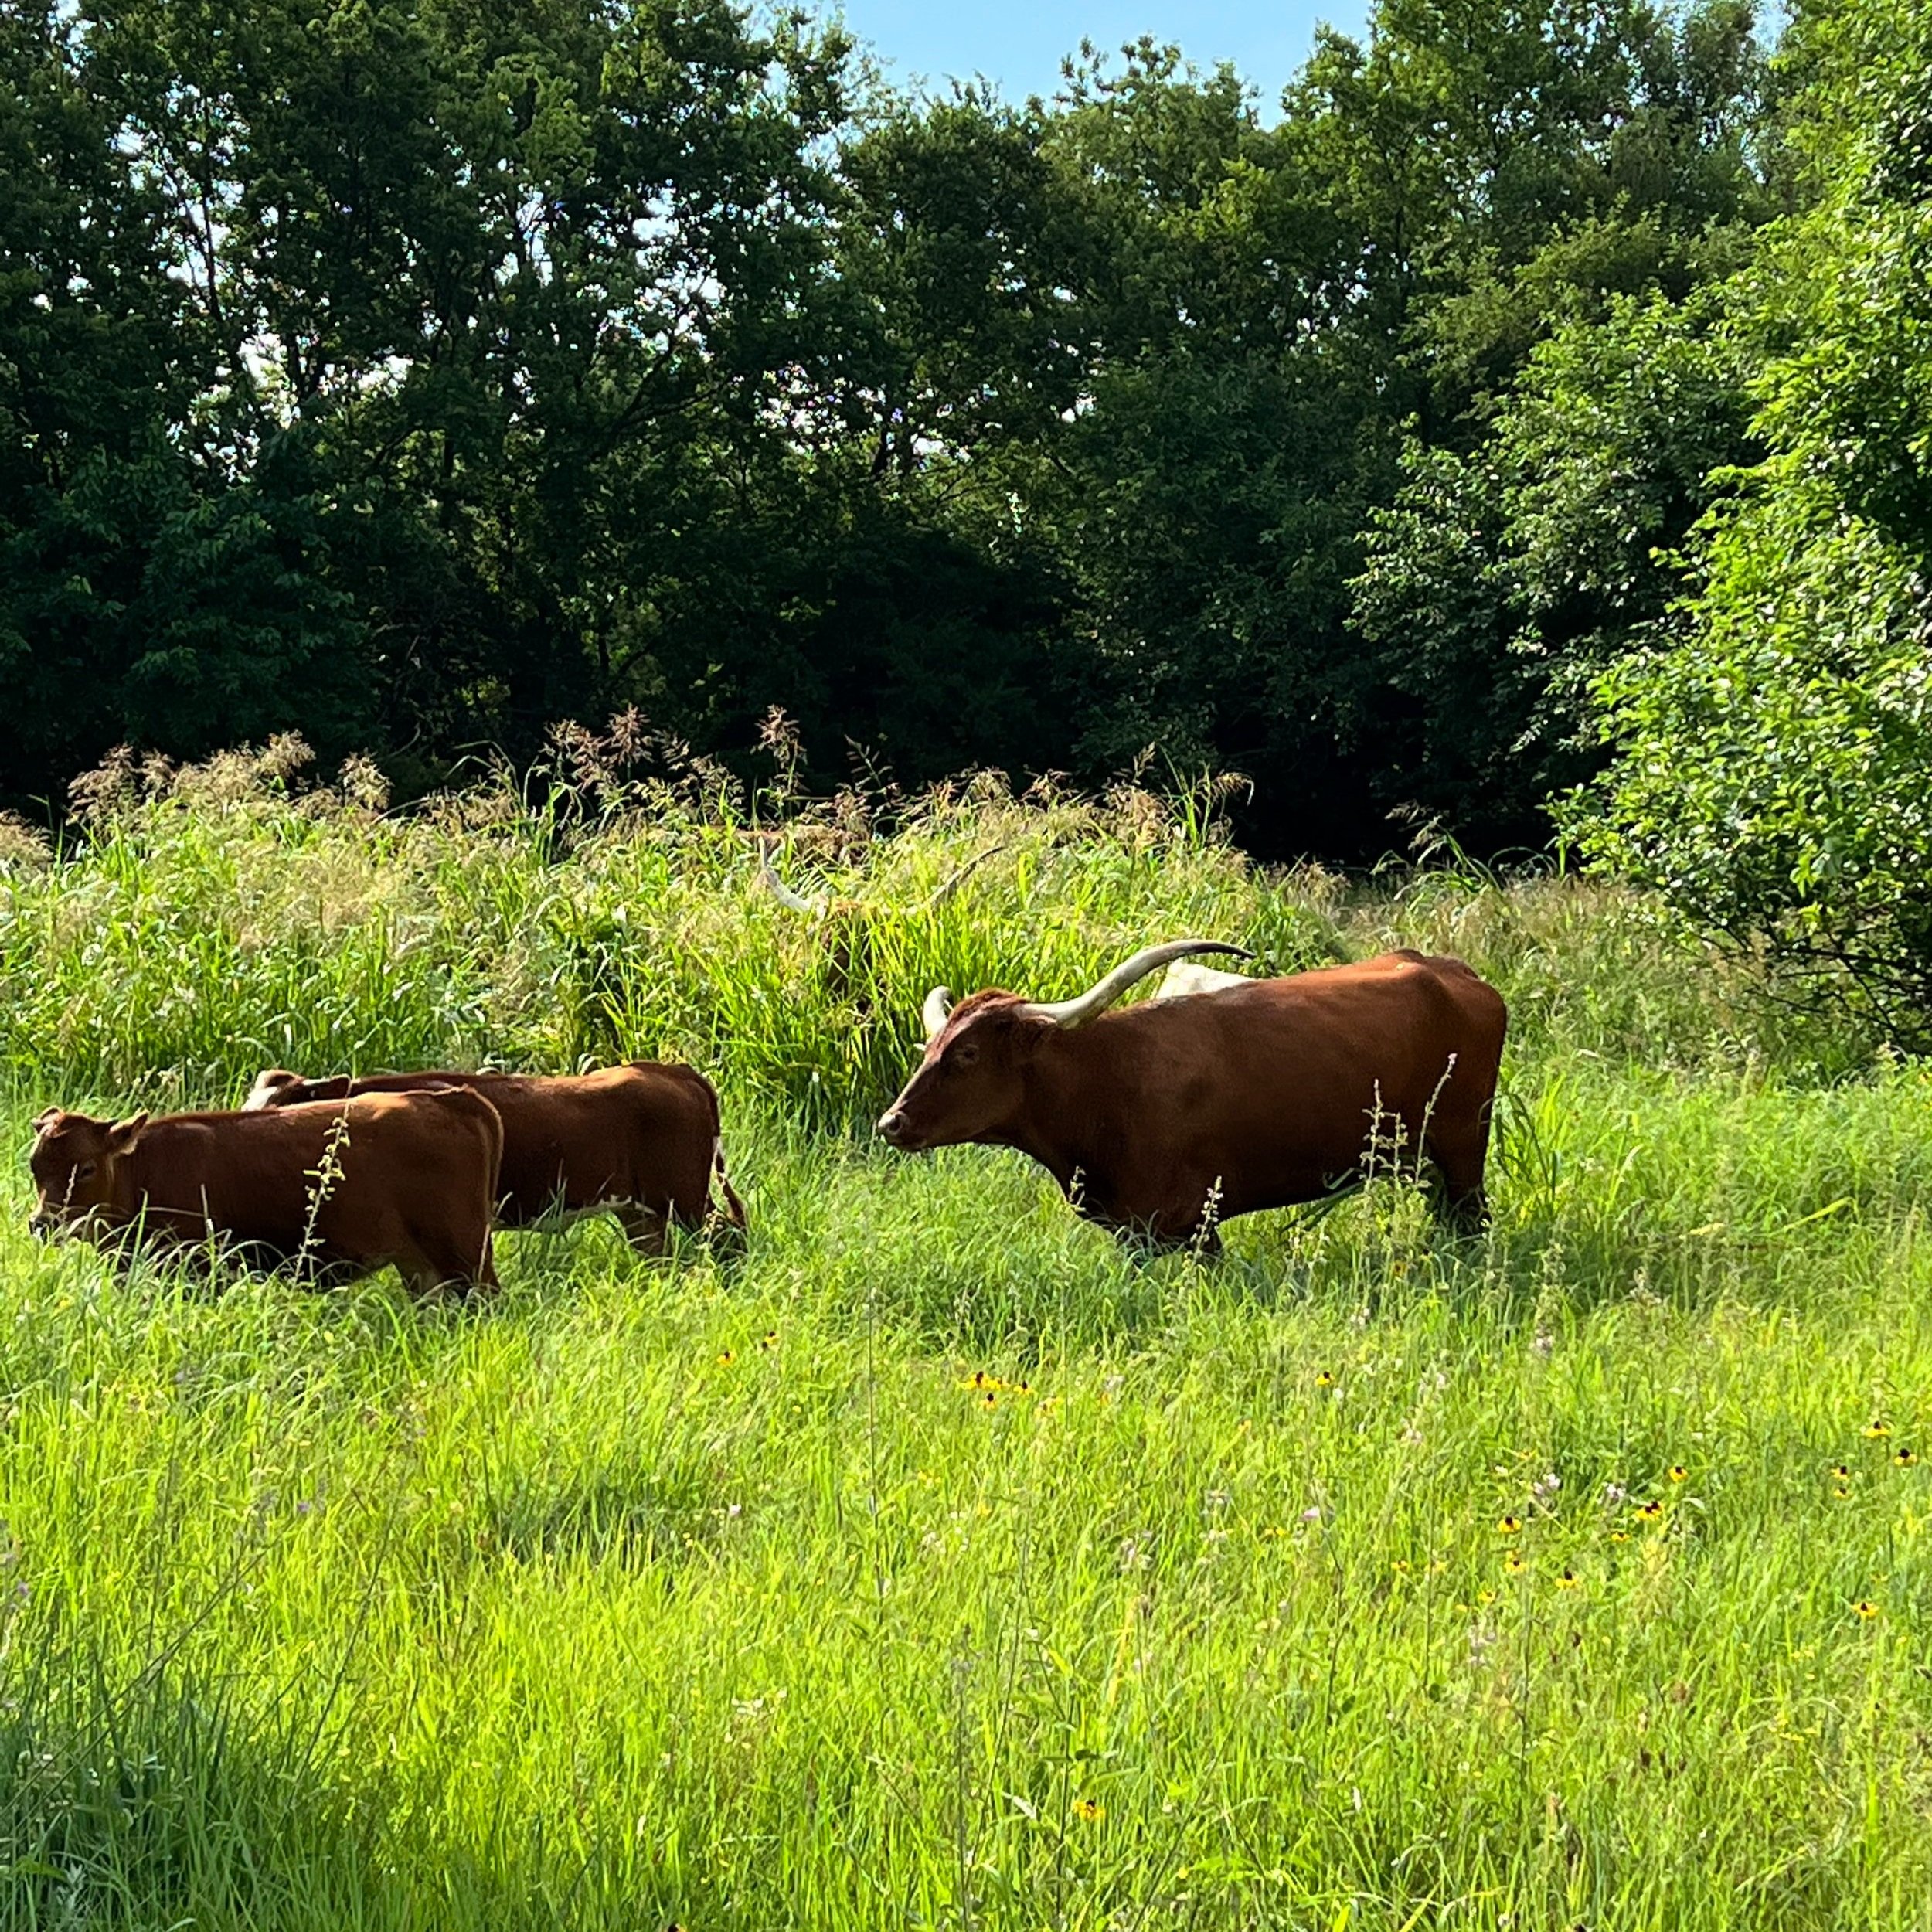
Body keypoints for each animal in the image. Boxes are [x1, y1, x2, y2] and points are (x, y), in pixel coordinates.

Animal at [27, 1088, 503, 1297]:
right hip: (422, 1265)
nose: (41, 1223)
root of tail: (452, 1098)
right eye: (33, 1166)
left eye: (87, 1168)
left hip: (465, 1254)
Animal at [877, 939, 1508, 1249]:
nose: (891, 1122)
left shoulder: (1190, 1225)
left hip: (1462, 1154)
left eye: (966, 1054)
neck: (1105, 1082)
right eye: (930, 1047)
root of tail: (1451, 972)